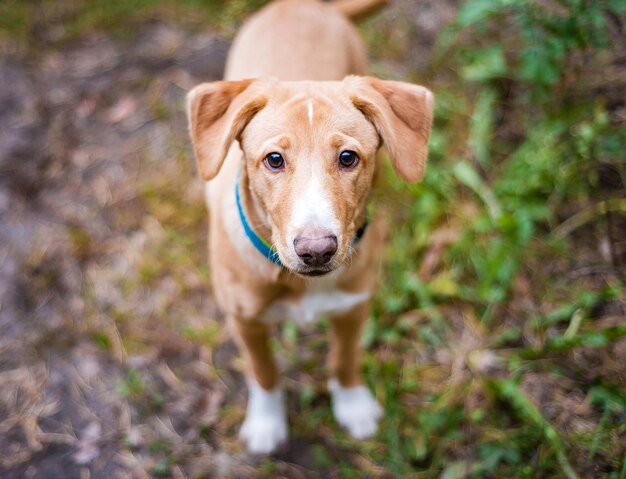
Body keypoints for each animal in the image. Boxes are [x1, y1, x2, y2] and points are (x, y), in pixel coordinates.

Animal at [183, 0, 432, 456]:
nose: (316, 250)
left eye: (348, 158)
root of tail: (303, 5)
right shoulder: (244, 320)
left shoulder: (353, 306)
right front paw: (266, 423)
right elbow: (263, 372)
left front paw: (353, 405)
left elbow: (344, 360)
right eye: (274, 160)